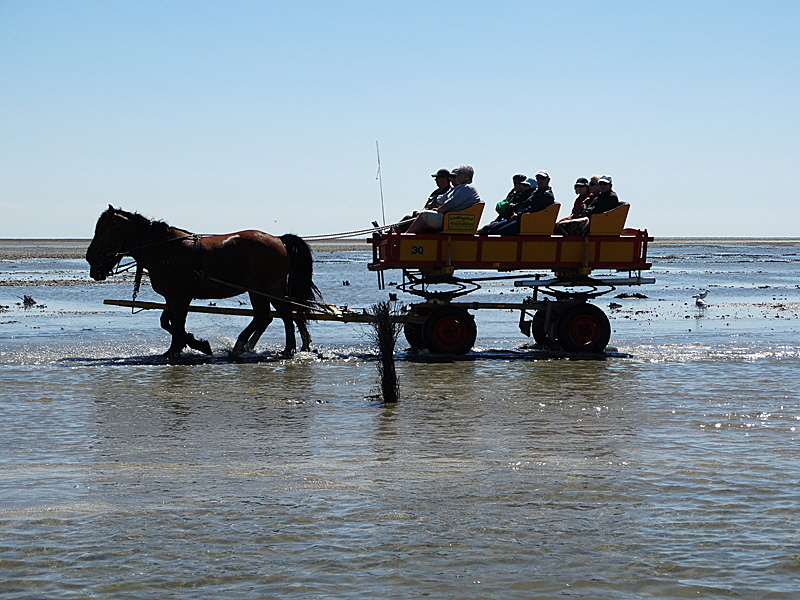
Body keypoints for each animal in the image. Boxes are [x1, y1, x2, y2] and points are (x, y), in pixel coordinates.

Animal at [88, 204, 322, 358]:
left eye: (103, 230)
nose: (90, 257)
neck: (164, 249)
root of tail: (279, 239)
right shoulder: (173, 296)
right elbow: (168, 322)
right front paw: (180, 346)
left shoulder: (180, 297)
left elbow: (178, 323)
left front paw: (190, 346)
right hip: (259, 289)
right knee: (268, 315)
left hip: (267, 287)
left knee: (281, 313)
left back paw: (283, 348)